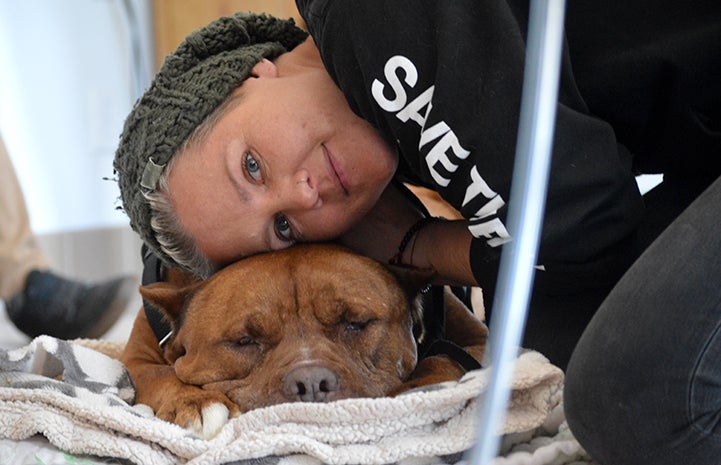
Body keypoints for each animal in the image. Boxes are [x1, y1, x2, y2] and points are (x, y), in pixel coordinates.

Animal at [121, 243, 486, 438]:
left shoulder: (479, 339)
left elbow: (444, 356)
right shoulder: (135, 359)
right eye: (244, 341)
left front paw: (421, 389)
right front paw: (194, 402)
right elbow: (159, 374)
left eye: (356, 323)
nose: (311, 382)